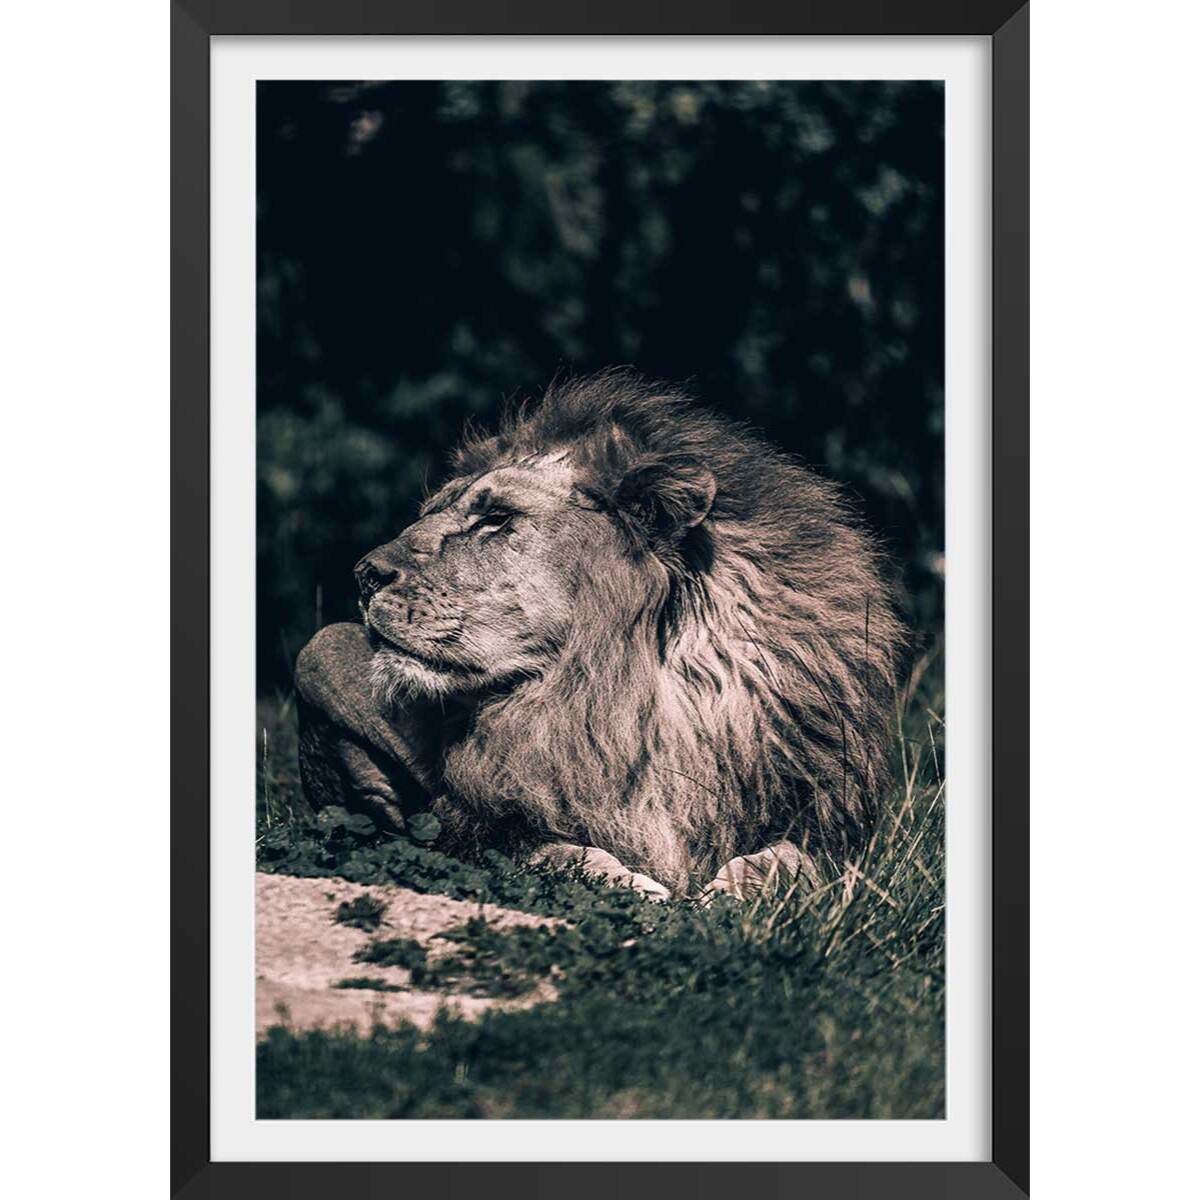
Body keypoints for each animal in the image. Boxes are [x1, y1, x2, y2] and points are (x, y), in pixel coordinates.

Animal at [294, 372, 904, 899]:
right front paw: (642, 889)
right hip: (315, 653)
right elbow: (561, 852)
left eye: (496, 519)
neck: (622, 699)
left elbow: (792, 859)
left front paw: (731, 894)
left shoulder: (828, 822)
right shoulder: (479, 824)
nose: (363, 574)